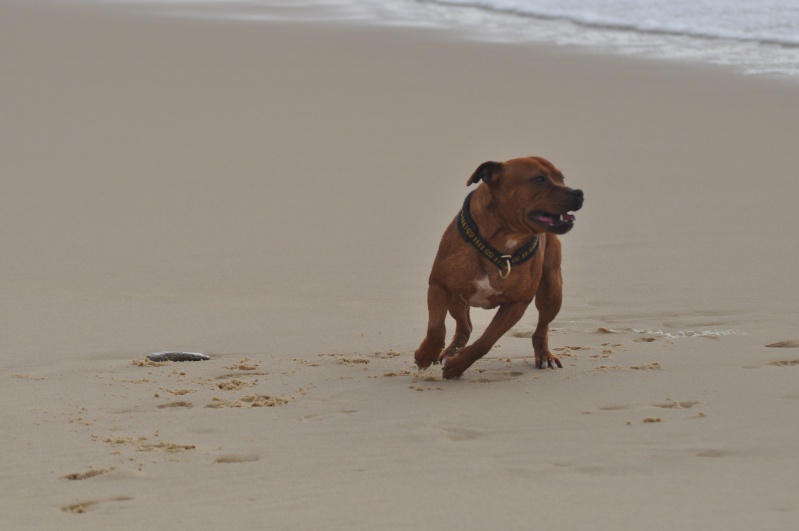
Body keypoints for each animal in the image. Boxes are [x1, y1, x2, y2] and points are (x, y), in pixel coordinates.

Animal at [416, 156, 584, 380]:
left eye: (562, 179)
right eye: (539, 179)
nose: (579, 193)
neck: (503, 241)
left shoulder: (517, 303)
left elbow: (486, 340)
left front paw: (458, 365)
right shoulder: (438, 285)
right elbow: (436, 327)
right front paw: (426, 354)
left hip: (552, 291)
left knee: (542, 327)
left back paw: (544, 355)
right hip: (456, 300)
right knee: (464, 326)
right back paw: (449, 352)